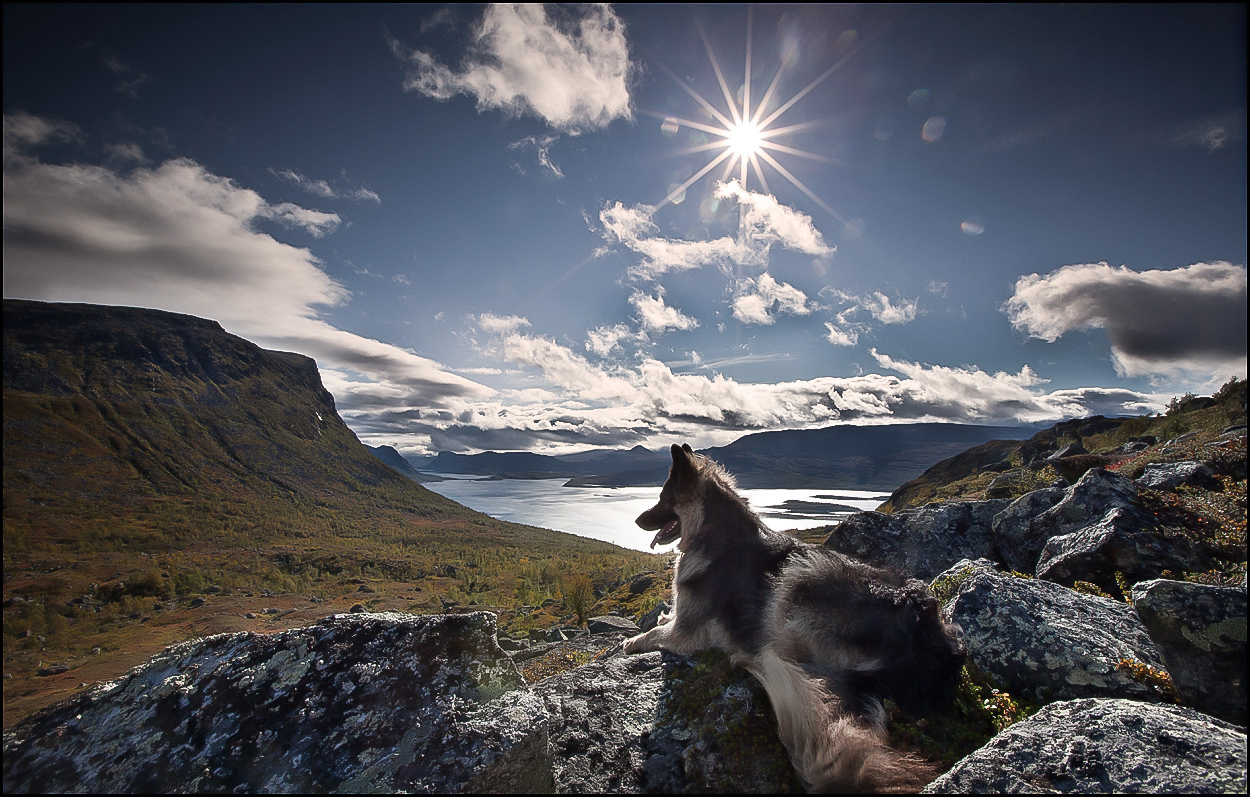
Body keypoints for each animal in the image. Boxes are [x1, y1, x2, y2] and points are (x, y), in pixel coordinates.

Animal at [625, 447, 965, 794]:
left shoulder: (686, 634)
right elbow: (664, 620)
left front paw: (631, 641)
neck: (712, 532)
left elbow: (654, 635)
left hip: (798, 584)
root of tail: (928, 646)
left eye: (663, 498)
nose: (636, 520)